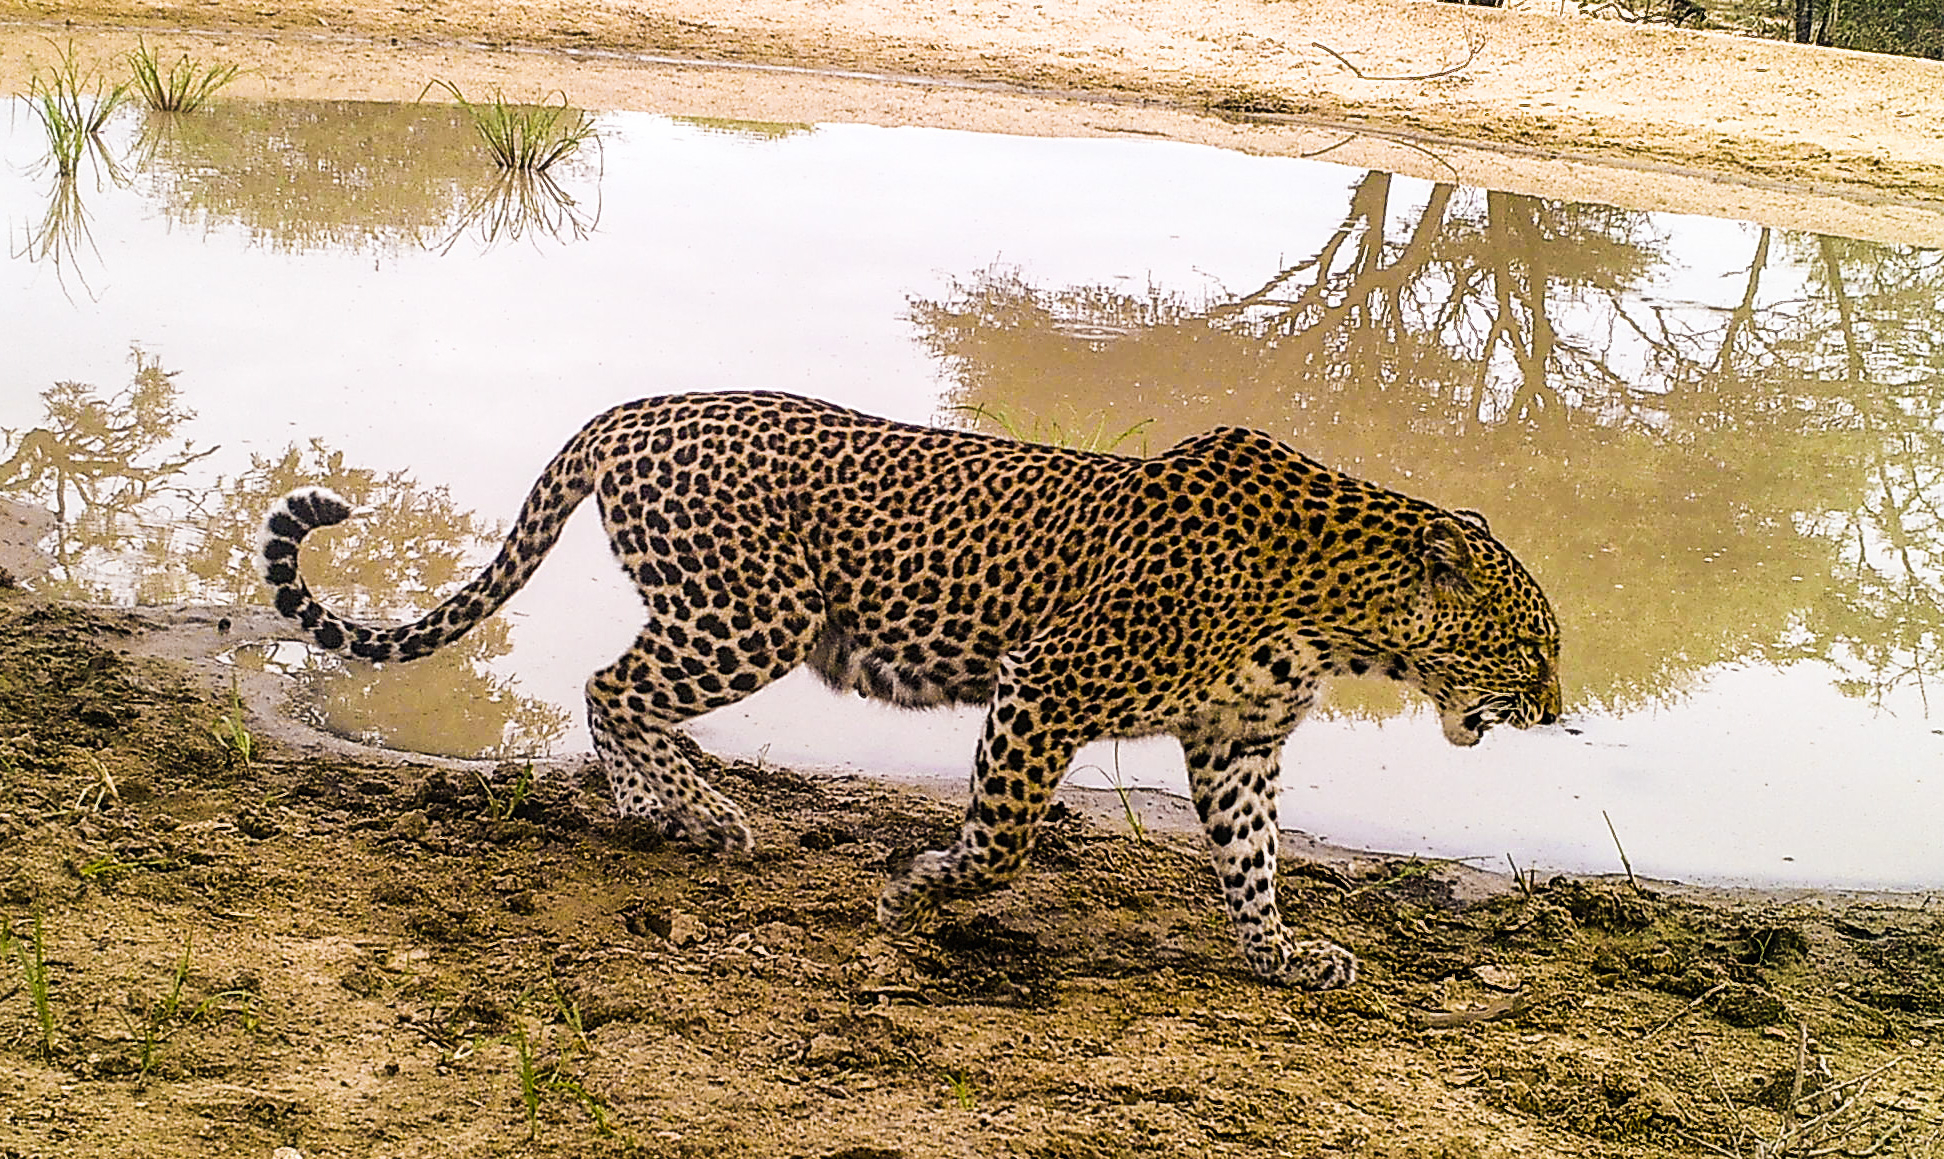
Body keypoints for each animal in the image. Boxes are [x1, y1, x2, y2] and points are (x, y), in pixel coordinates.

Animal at [259, 390, 1562, 989]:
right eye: (1533, 644)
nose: (1557, 712)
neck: (1343, 612)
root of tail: (630, 410)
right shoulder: (1046, 684)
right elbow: (1004, 839)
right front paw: (923, 885)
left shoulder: (1237, 742)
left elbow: (1252, 861)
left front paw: (1281, 955)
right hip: (755, 614)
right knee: (608, 685)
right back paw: (698, 812)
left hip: (731, 615)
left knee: (618, 692)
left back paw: (663, 807)